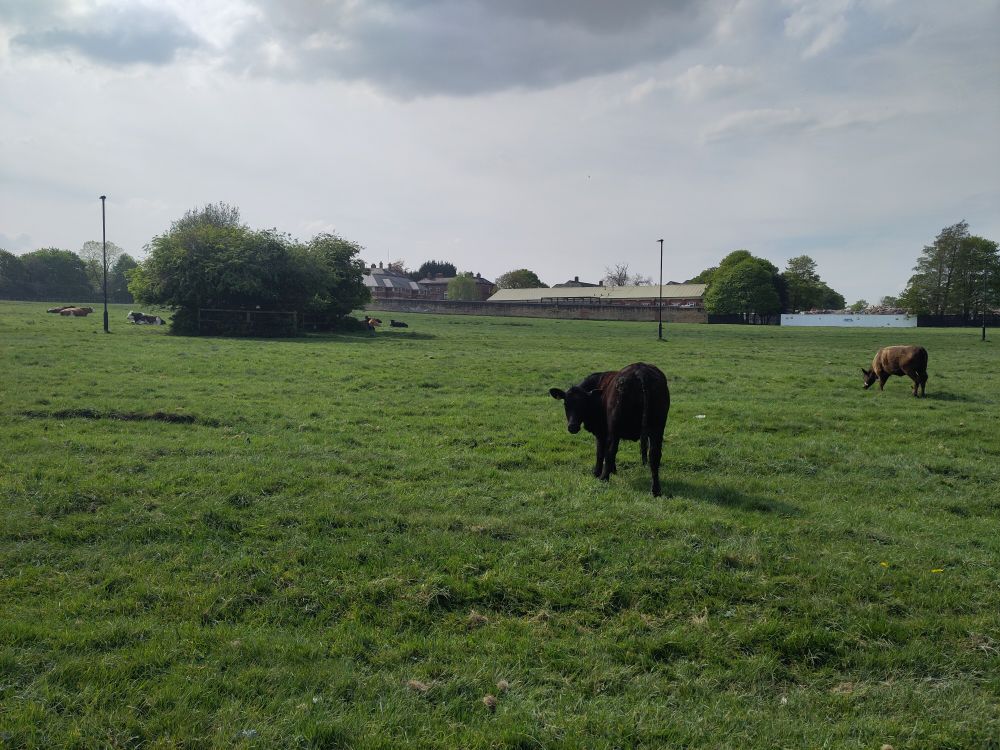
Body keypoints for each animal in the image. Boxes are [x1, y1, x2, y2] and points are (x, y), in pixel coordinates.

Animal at [550, 362, 670, 496]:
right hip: (657, 428)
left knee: (611, 451)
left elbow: (600, 452)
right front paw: (613, 470)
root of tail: (641, 370)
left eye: (583, 404)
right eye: (566, 404)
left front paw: (597, 473)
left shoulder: (601, 432)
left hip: (615, 427)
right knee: (654, 454)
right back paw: (656, 490)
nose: (572, 427)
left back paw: (604, 478)